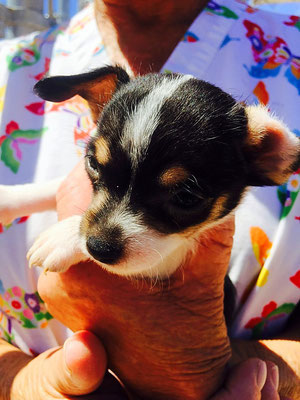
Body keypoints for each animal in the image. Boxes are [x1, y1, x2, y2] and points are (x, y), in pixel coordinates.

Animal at [0, 66, 300, 282]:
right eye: (93, 163)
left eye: (186, 197)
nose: (98, 247)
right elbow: (51, 185)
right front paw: (8, 199)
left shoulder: (162, 261)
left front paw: (62, 237)